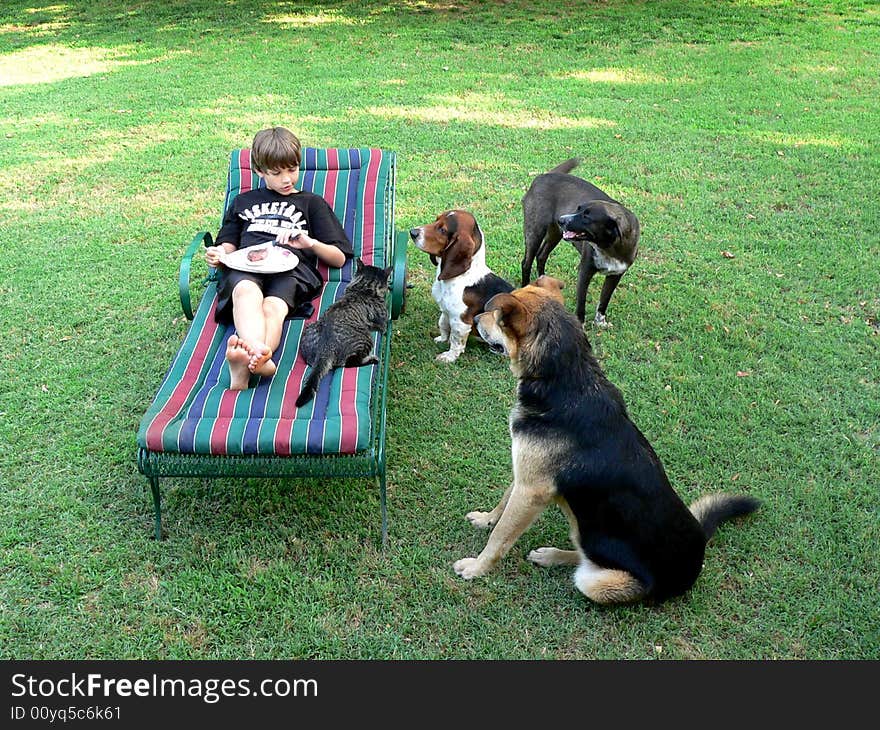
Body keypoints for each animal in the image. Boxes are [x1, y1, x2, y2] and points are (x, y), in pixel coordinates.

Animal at [296, 258, 392, 406]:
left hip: (310, 329)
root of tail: (326, 348)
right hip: (365, 339)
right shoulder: (382, 322)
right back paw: (372, 359)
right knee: (351, 362)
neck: (364, 288)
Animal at [458, 276, 760, 600]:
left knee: (586, 567)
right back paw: (550, 555)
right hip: (582, 529)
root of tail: (699, 553)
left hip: (597, 582)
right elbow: (503, 504)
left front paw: (477, 567)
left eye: (494, 315)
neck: (565, 378)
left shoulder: (532, 490)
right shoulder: (525, 473)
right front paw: (486, 518)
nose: (474, 320)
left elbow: (501, 536)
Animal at [524, 162, 640, 328]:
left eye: (586, 217)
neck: (608, 247)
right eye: (578, 208)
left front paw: (600, 322)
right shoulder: (585, 272)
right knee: (526, 262)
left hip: (555, 233)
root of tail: (542, 176)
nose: (561, 219)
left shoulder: (615, 275)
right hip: (535, 231)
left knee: (541, 256)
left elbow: (604, 300)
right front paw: (581, 325)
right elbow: (581, 303)